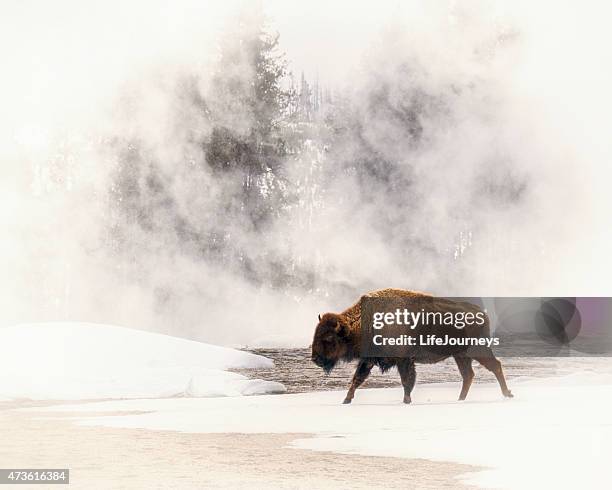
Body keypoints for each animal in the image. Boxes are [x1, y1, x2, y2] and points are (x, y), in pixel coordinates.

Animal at [308, 290, 512, 404]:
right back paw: (460, 399)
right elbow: (357, 379)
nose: (315, 359)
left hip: (477, 350)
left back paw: (507, 394)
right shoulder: (368, 360)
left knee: (495, 366)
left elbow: (407, 381)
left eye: (328, 337)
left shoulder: (403, 361)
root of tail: (481, 313)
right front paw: (346, 400)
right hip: (460, 356)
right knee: (468, 375)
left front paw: (406, 401)